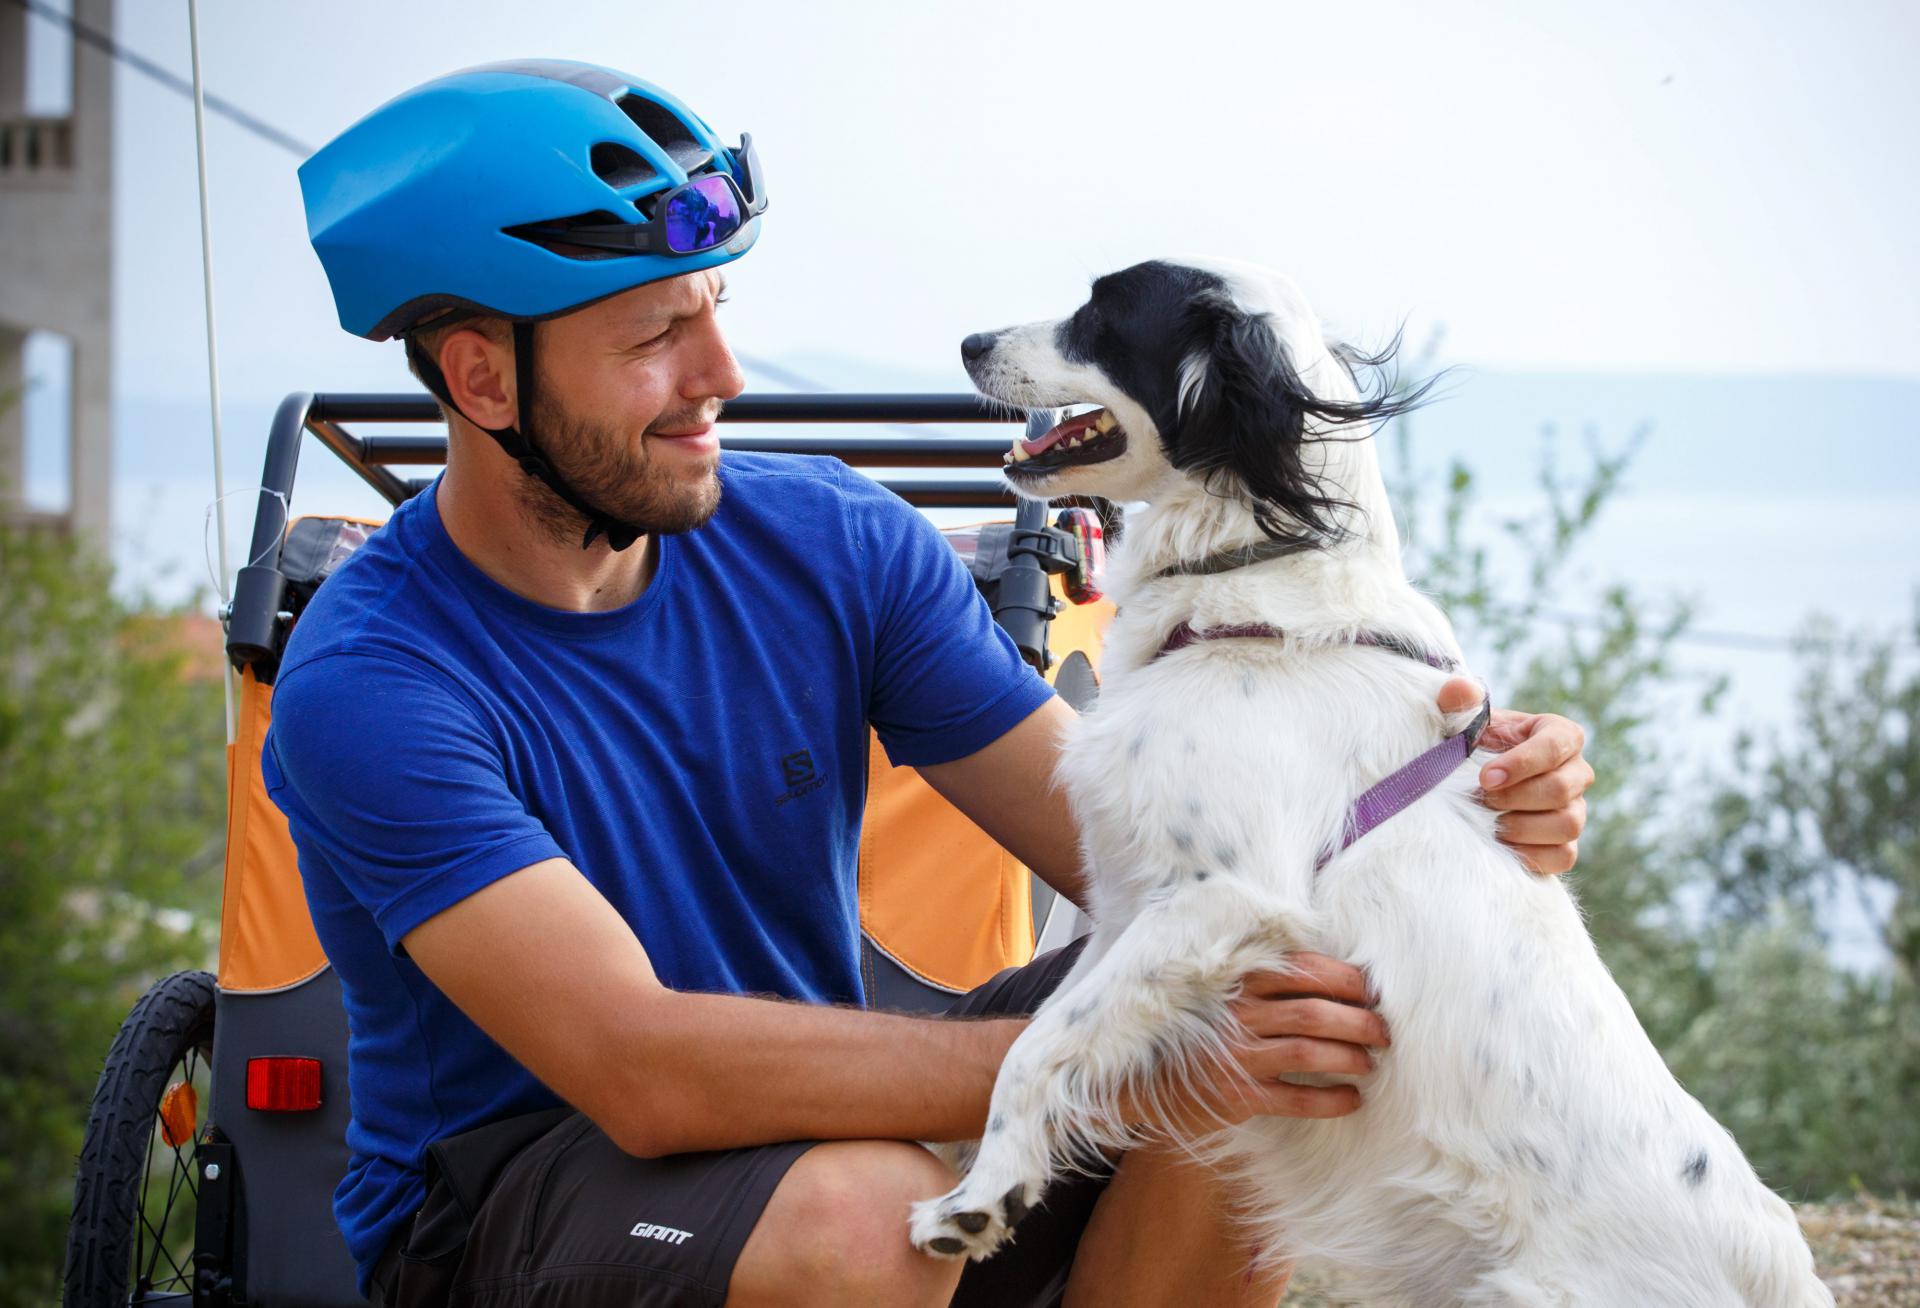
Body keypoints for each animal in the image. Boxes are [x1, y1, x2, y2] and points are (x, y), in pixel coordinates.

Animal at [906, 257, 1820, 1306]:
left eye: (1103, 308)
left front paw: (977, 1202)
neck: (1250, 603)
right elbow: (1052, 1035)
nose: (970, 343)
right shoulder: (1133, 908)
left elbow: (1032, 1047)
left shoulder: (1226, 895)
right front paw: (993, 1175)